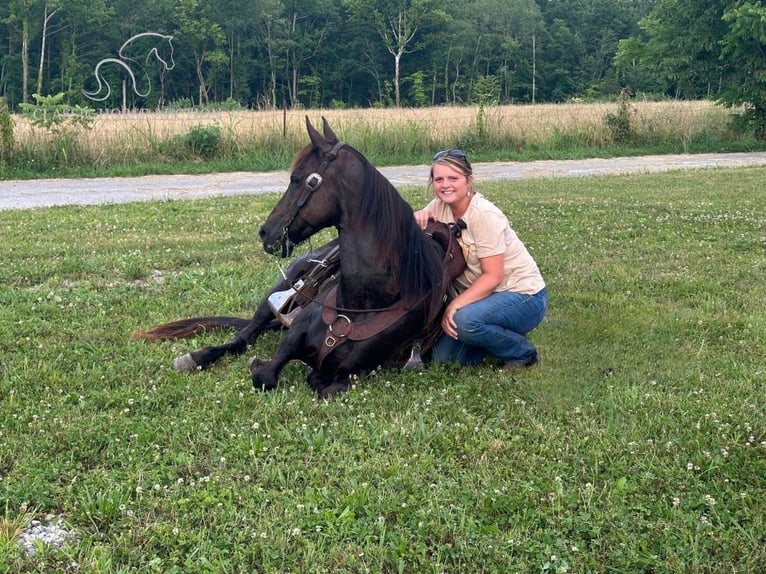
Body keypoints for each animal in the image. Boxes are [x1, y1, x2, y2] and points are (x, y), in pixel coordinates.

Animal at [136, 117, 462, 396]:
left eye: (296, 178)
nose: (266, 232)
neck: (361, 304)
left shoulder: (356, 373)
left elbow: (321, 383)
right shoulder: (292, 338)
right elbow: (264, 374)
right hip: (280, 289)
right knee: (244, 337)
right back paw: (196, 357)